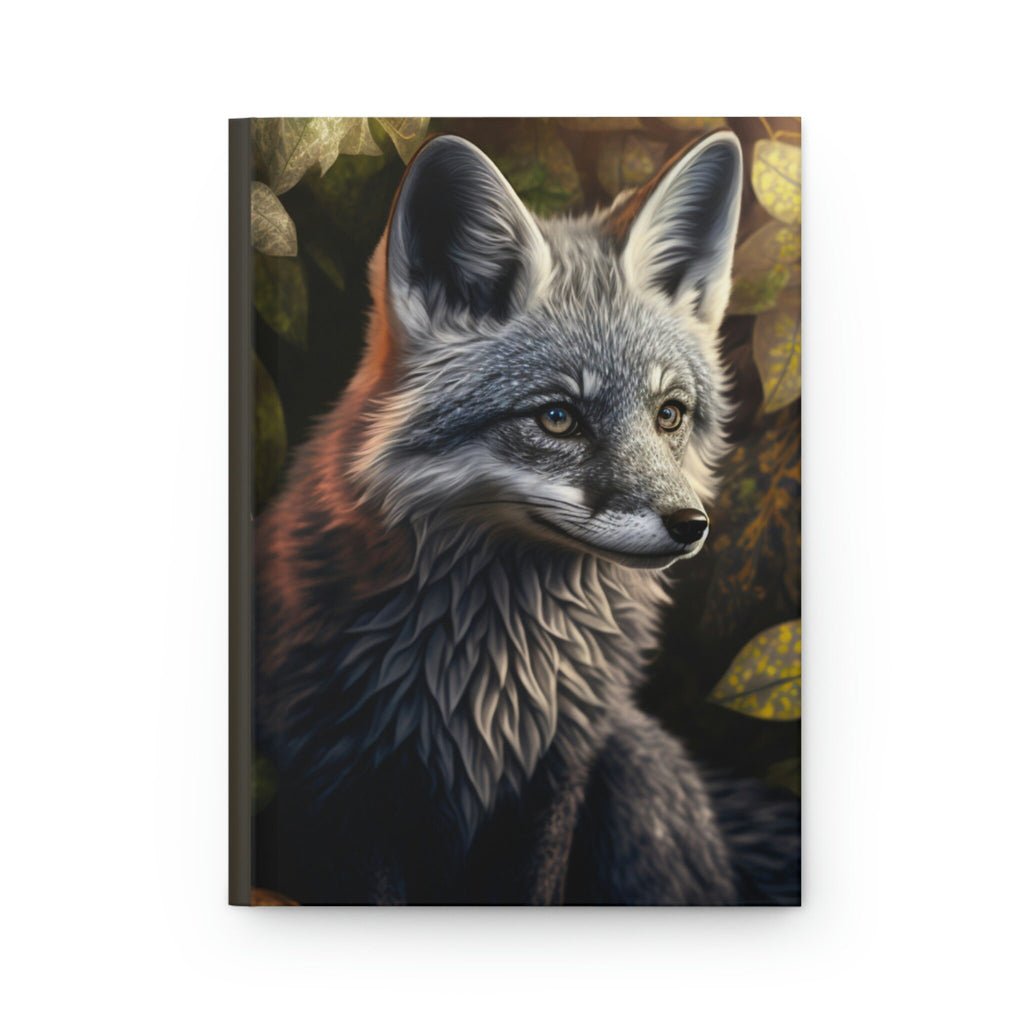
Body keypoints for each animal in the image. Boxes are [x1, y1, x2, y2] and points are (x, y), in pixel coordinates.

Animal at [254, 129, 800, 905]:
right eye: (558, 418)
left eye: (669, 415)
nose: (690, 525)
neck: (490, 682)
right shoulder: (344, 781)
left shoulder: (556, 773)